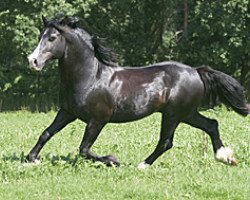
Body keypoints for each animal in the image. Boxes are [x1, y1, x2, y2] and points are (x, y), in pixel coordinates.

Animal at [26, 15, 249, 169]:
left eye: (52, 37)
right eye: (39, 37)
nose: (33, 61)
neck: (90, 77)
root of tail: (196, 71)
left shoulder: (98, 120)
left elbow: (83, 149)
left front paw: (113, 160)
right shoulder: (67, 112)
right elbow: (46, 133)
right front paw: (32, 159)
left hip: (173, 114)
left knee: (166, 142)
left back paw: (142, 165)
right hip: (186, 113)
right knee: (211, 124)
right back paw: (226, 157)